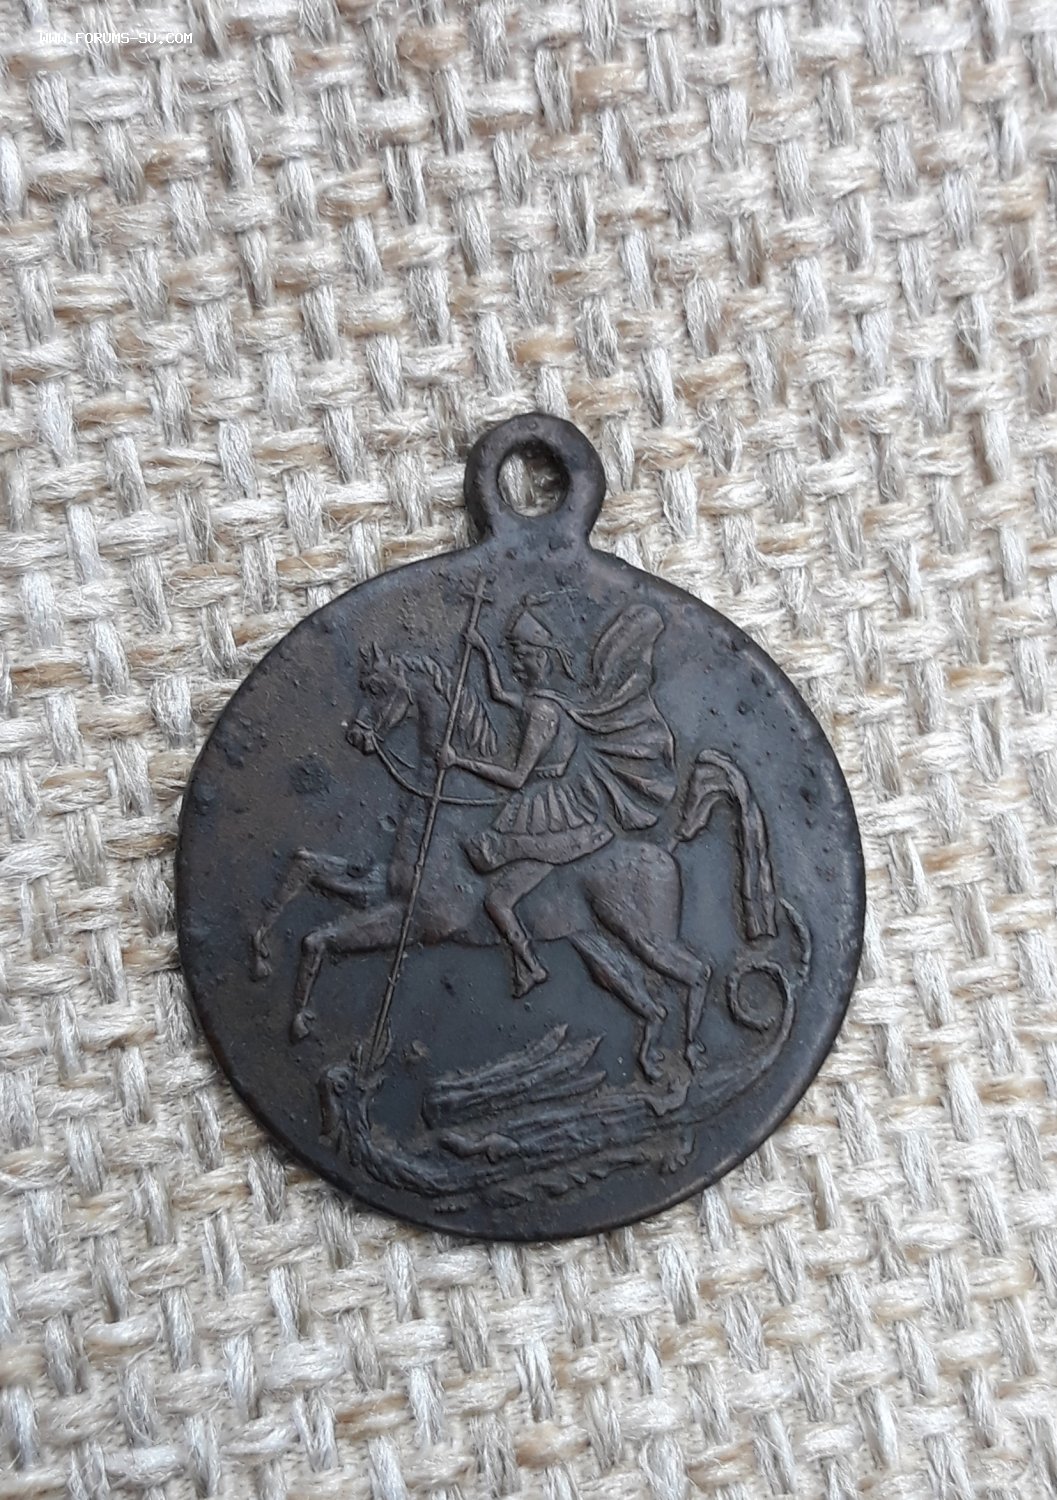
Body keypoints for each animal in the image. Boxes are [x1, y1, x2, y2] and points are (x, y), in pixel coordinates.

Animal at [250, 644, 780, 1081]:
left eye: (378, 689)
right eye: (362, 685)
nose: (357, 738)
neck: (441, 812)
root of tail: (665, 847)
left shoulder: (418, 922)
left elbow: (320, 936)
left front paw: (300, 1019)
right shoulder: (385, 890)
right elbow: (305, 871)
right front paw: (262, 955)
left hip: (644, 934)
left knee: (697, 973)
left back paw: (690, 1052)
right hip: (598, 944)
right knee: (650, 1004)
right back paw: (651, 1063)